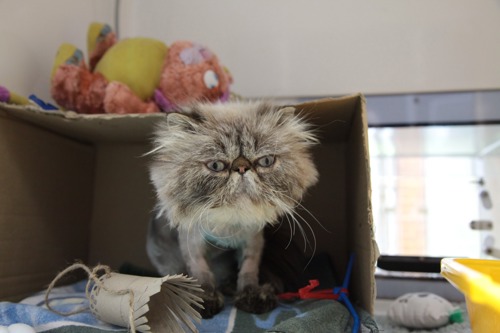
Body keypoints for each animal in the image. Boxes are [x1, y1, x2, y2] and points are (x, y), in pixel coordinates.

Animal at [146, 100, 316, 316]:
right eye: (216, 165)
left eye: (265, 161)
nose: (242, 168)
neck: (230, 222)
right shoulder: (192, 242)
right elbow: (201, 274)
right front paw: (205, 300)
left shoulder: (253, 240)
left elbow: (248, 271)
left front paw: (251, 296)